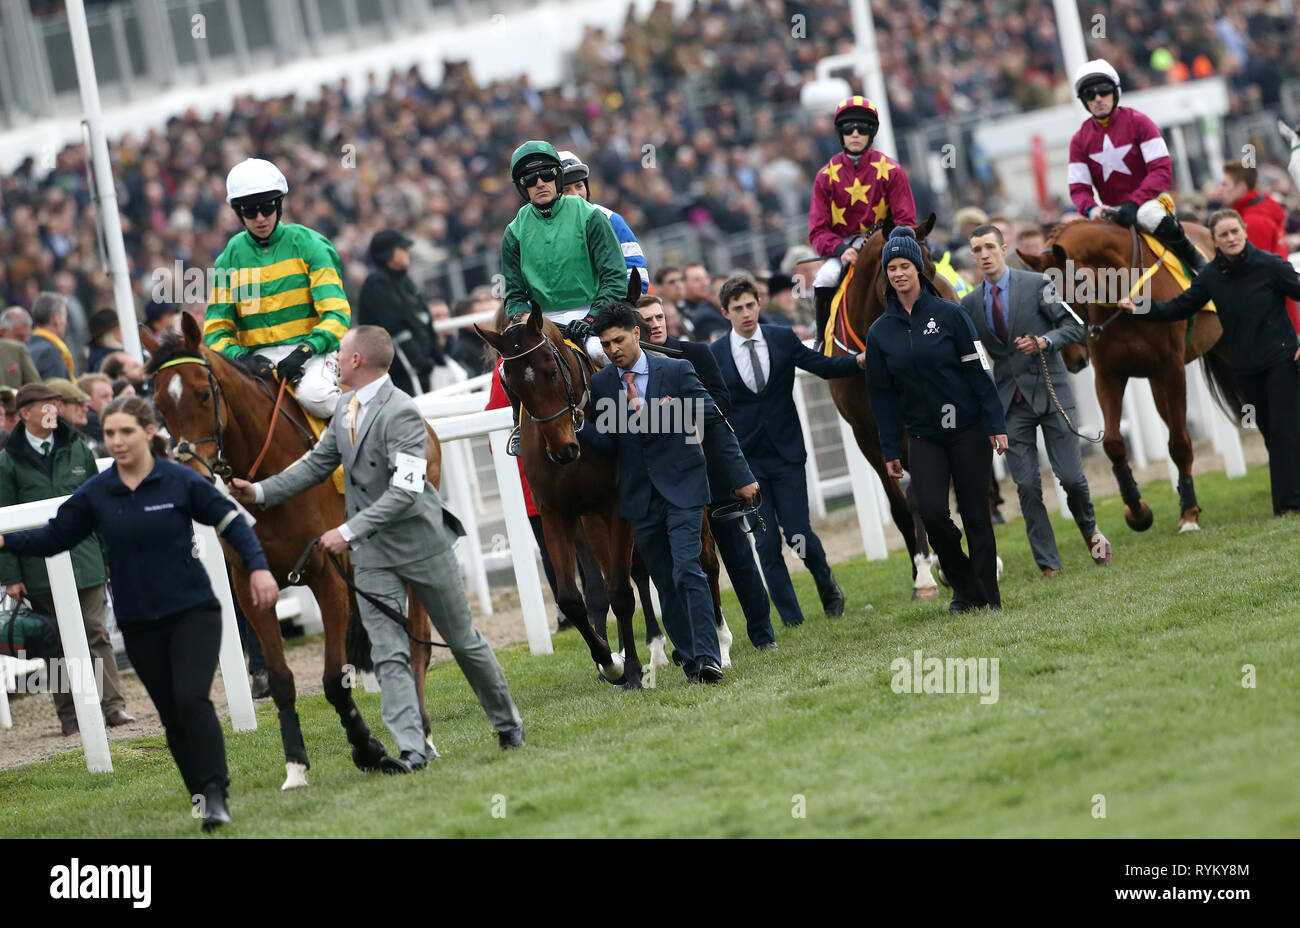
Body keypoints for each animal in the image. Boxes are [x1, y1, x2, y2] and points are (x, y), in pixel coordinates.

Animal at [1019, 218, 1242, 530]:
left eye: (1073, 287)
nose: (1072, 357)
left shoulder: (1172, 369)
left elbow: (1179, 444)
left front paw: (1188, 515)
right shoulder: (1109, 375)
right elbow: (1113, 443)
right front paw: (1138, 511)